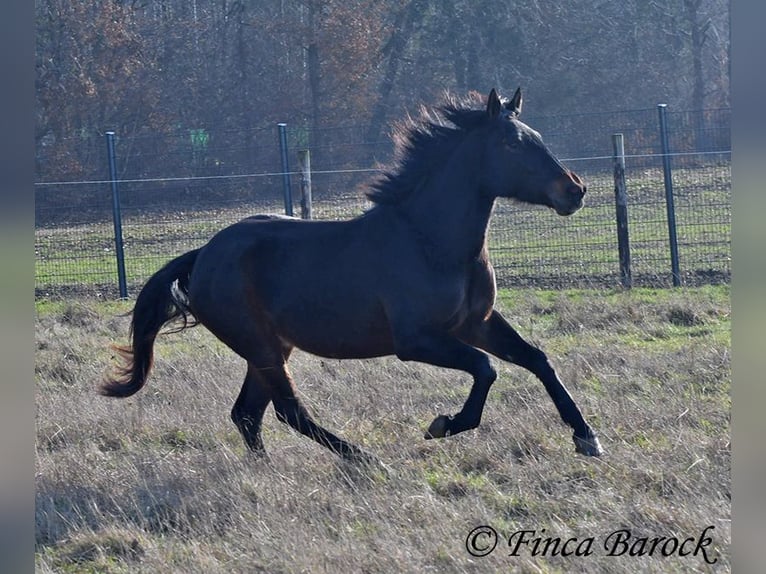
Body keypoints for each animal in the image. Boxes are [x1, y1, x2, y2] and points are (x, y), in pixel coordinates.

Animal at [102, 88, 603, 462]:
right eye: (511, 144)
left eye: (535, 135)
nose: (574, 190)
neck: (430, 241)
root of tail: (204, 254)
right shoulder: (416, 340)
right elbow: (486, 368)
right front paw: (443, 425)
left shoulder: (475, 323)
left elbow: (537, 359)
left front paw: (587, 437)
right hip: (260, 346)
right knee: (288, 410)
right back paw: (366, 461)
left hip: (270, 348)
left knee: (248, 413)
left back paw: (267, 469)